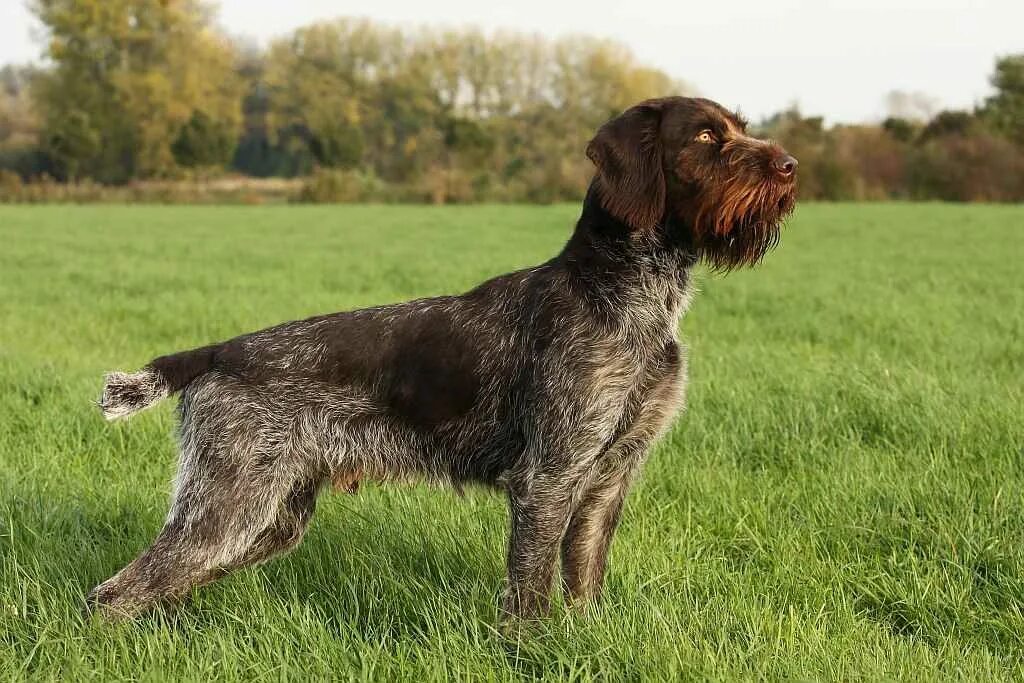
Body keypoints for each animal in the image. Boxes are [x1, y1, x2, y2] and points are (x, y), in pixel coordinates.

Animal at [90, 97, 798, 626]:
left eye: (738, 127)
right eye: (706, 135)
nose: (791, 166)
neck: (627, 293)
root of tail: (220, 351)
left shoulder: (607, 480)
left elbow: (584, 582)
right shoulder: (549, 476)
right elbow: (531, 595)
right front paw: (533, 652)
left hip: (270, 517)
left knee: (157, 585)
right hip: (229, 504)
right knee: (115, 593)